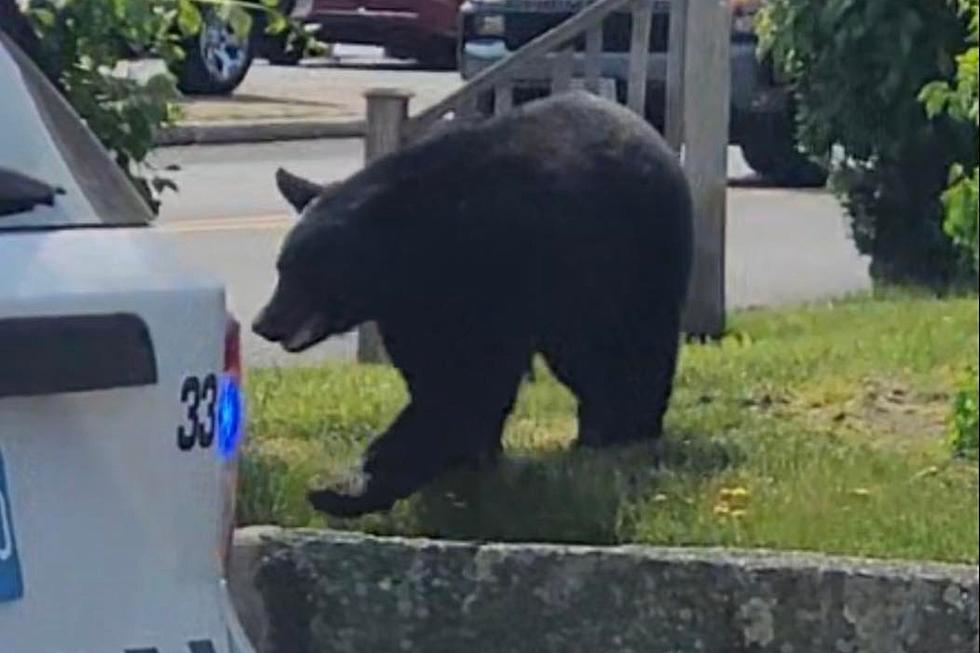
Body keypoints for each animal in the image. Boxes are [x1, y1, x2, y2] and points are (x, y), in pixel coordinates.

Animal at [255, 91, 696, 516]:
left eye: (309, 271)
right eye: (282, 266)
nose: (265, 322)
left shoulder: (494, 274)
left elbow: (470, 380)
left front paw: (357, 487)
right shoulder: (410, 308)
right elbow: (434, 373)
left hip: (630, 261)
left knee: (625, 349)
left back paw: (624, 433)